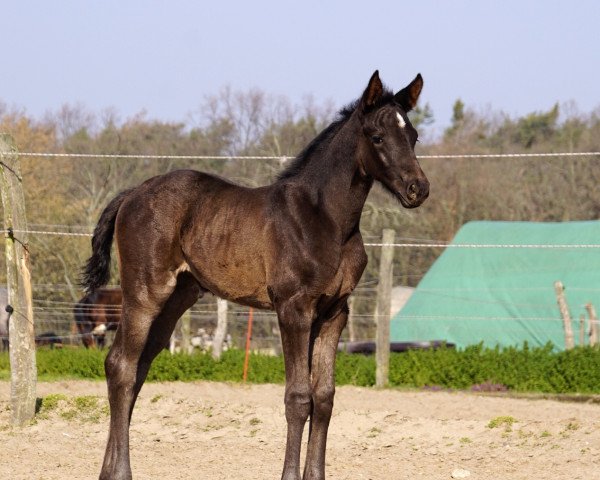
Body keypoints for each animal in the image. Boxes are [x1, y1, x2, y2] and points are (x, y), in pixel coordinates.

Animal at [84, 71, 428, 480]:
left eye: (413, 136)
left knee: (137, 369)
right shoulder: (293, 309)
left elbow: (324, 397)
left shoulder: (334, 313)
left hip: (178, 297)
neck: (327, 221)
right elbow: (298, 397)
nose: (418, 189)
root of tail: (133, 193)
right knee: (120, 366)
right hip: (145, 292)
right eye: (377, 137)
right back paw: (120, 471)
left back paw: (108, 469)